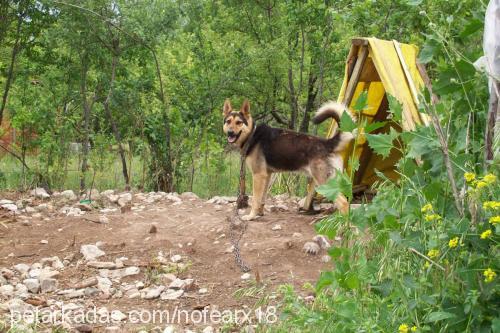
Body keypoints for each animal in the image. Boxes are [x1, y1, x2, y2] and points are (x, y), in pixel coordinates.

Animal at [223, 98, 356, 220]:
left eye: (239, 122)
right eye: (228, 121)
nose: (230, 133)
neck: (252, 134)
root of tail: (326, 143)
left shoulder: (258, 176)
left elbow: (256, 199)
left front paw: (251, 216)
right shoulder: (267, 176)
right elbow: (262, 198)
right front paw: (260, 213)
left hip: (325, 182)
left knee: (344, 204)